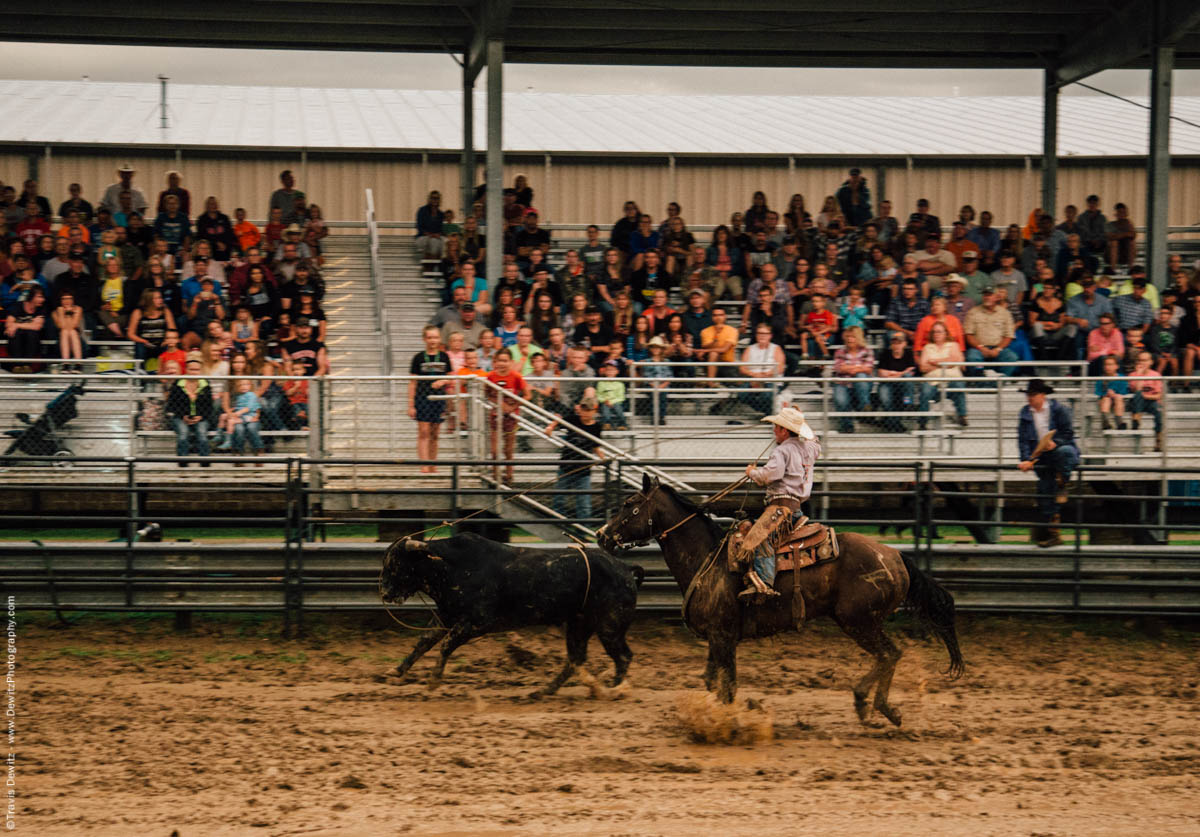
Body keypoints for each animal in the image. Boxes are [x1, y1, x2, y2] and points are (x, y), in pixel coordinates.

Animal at [600, 474, 964, 724]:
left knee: (890, 654)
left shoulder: (724, 636)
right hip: (860, 621)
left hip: (859, 621)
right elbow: (712, 682)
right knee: (890, 655)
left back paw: (871, 704)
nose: (602, 536)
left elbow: (728, 686)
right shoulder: (717, 638)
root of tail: (896, 556)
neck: (707, 558)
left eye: (630, 505)